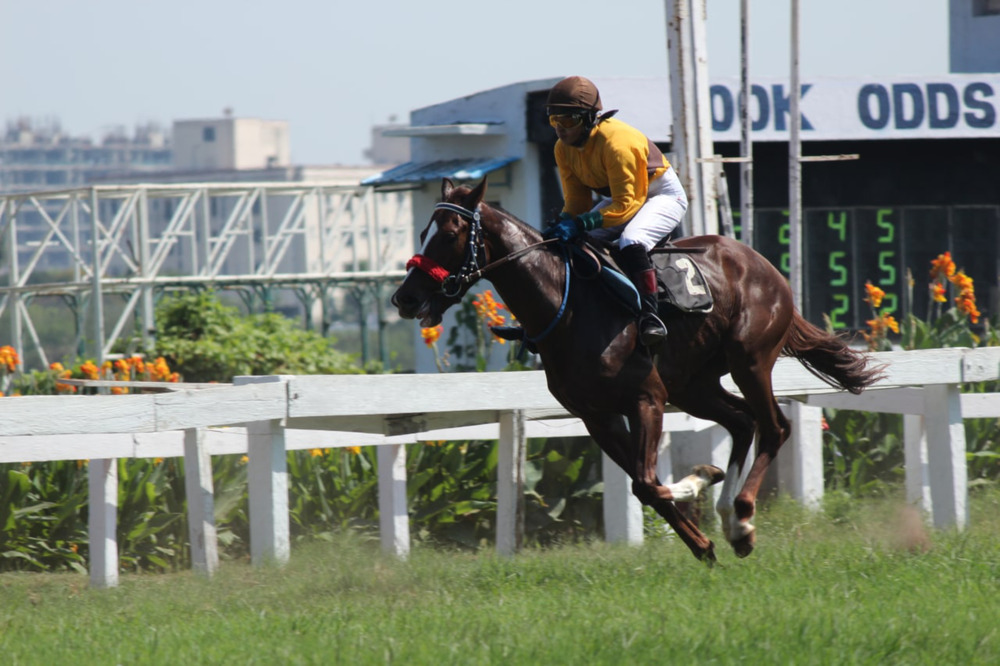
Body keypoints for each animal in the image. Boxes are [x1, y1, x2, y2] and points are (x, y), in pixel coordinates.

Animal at [392, 177, 883, 562]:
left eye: (450, 234)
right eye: (423, 231)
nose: (405, 298)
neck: (568, 308)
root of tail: (763, 265)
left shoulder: (647, 398)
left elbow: (648, 485)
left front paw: (698, 484)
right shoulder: (598, 416)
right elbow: (643, 484)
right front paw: (702, 542)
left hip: (750, 360)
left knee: (774, 427)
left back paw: (742, 520)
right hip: (693, 385)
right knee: (743, 422)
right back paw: (727, 516)